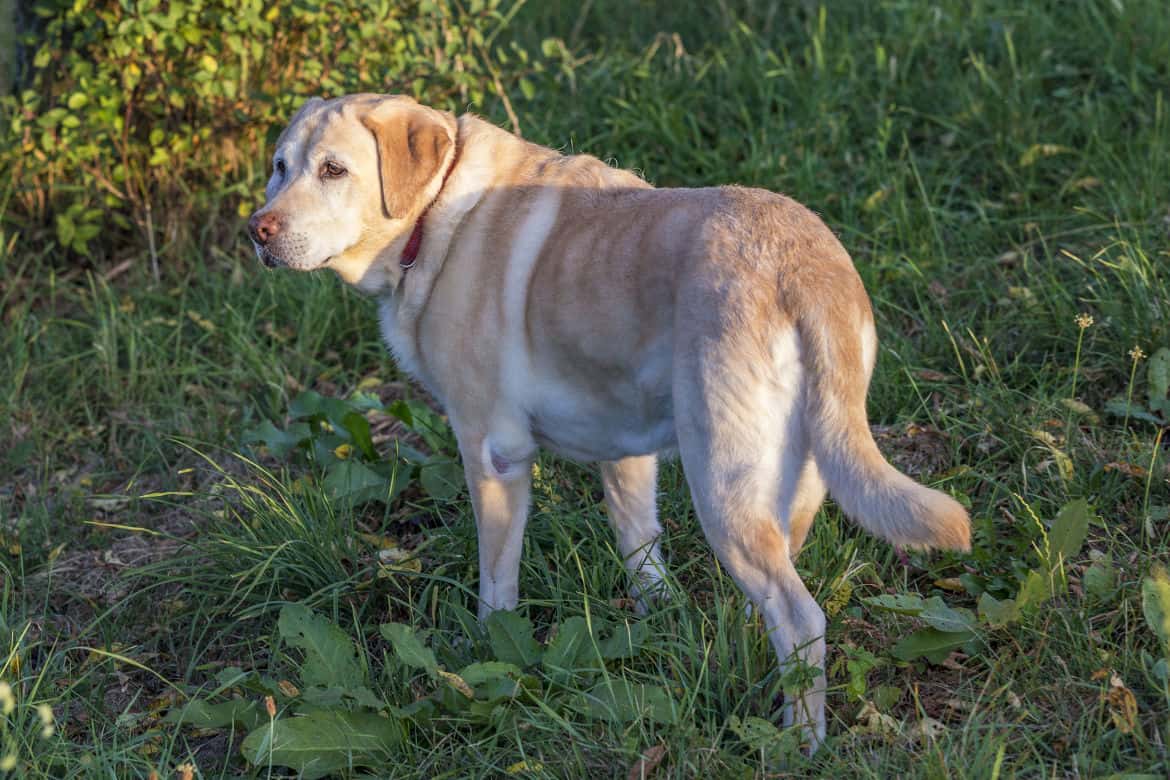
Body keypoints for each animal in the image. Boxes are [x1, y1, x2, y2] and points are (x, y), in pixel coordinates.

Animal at [246, 94, 968, 748]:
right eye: (280, 167)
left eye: (334, 170)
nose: (259, 230)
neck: (434, 217)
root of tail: (804, 266)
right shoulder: (625, 452)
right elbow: (641, 549)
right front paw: (658, 624)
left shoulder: (493, 453)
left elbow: (496, 584)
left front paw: (485, 652)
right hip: (797, 479)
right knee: (776, 587)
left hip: (720, 482)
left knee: (802, 618)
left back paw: (800, 742)